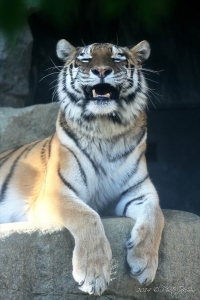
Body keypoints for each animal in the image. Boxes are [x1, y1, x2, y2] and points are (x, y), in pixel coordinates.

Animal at [0, 39, 164, 296]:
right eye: (85, 59)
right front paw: (93, 274)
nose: (102, 71)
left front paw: (144, 263)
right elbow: (88, 216)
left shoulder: (140, 192)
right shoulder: (56, 193)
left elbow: (156, 216)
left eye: (117, 58)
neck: (106, 129)